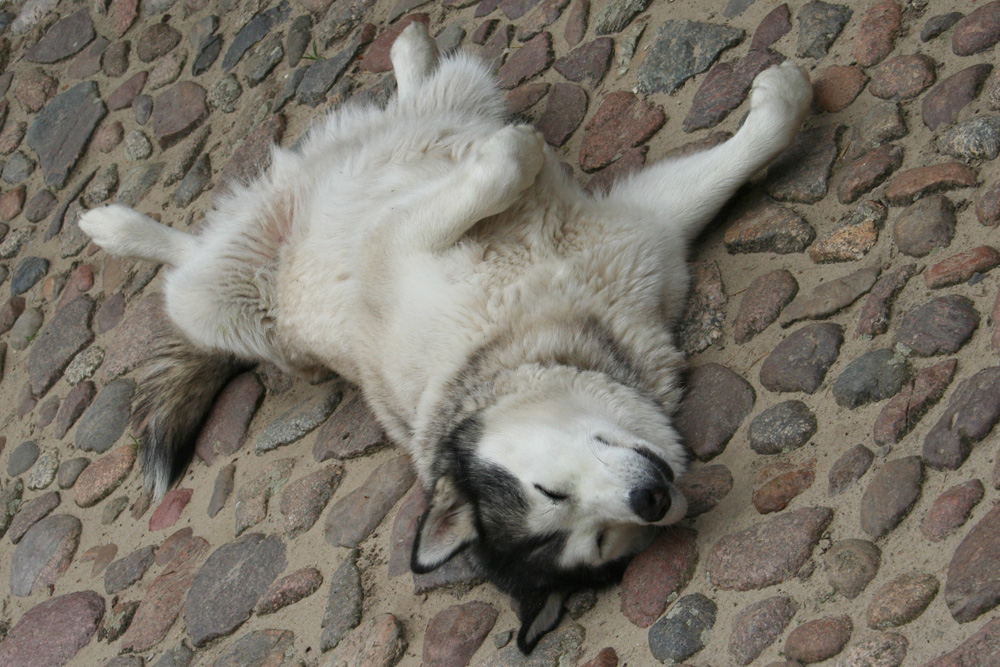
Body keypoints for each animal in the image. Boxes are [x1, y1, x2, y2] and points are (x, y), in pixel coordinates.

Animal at [78, 23, 812, 656]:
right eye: (597, 535)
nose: (652, 500)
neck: (533, 342)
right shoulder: (414, 236)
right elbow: (505, 167)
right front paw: (514, 151)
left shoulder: (637, 238)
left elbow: (751, 147)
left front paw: (784, 97)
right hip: (218, 305)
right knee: (181, 273)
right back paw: (115, 227)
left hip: (429, 124)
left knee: (420, 106)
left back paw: (412, 57)